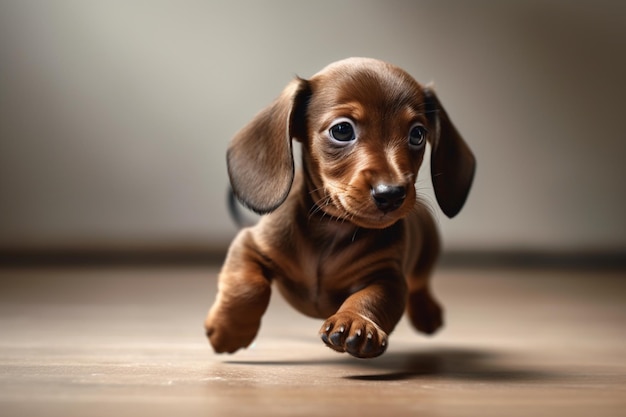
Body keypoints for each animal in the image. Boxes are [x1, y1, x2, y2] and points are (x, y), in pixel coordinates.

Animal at [205, 57, 472, 358]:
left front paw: (356, 322)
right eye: (342, 130)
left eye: (417, 134)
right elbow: (250, 286)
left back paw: (426, 311)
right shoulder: (250, 243)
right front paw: (230, 331)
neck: (331, 227)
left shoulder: (388, 275)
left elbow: (370, 298)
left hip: (428, 249)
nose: (391, 194)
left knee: (420, 281)